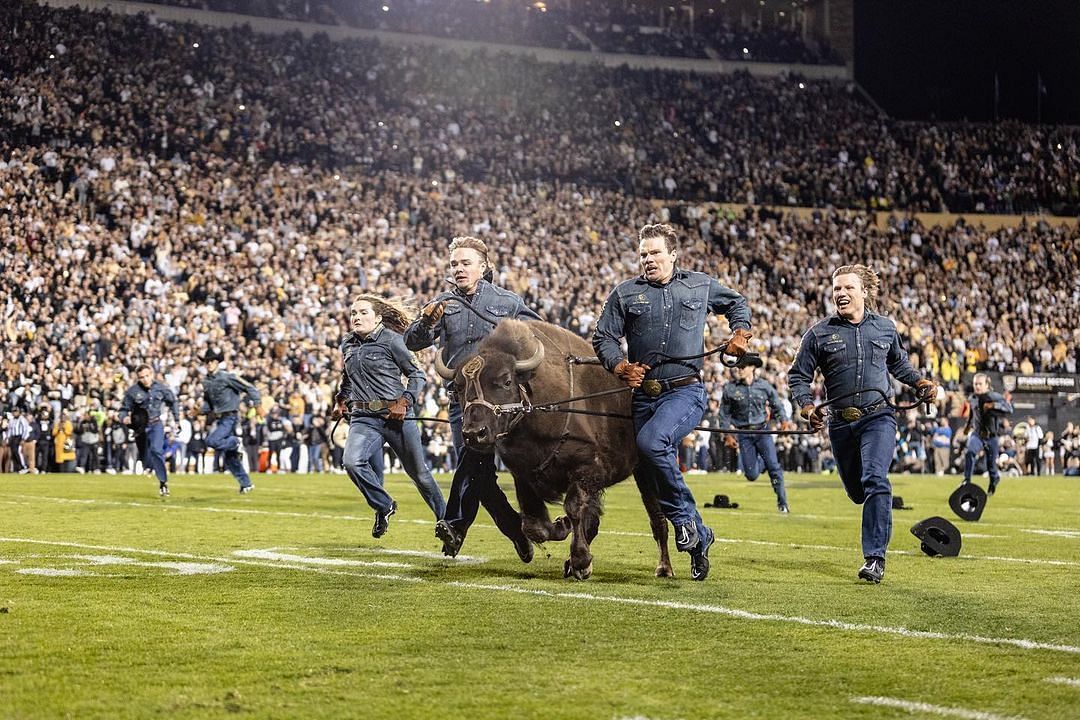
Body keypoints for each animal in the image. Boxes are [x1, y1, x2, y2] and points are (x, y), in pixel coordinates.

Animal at [434, 321, 669, 578]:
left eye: (506, 381)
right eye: (458, 387)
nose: (474, 433)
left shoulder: (586, 470)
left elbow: (575, 509)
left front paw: (580, 561)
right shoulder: (524, 477)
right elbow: (535, 526)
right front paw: (562, 528)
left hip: (646, 471)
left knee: (657, 518)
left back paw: (664, 567)